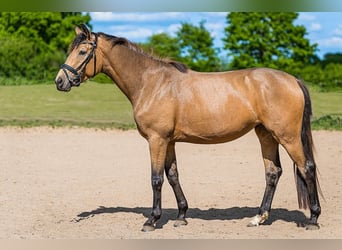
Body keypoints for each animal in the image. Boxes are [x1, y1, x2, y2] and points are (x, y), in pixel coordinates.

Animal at [54, 24, 322, 231]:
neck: (151, 83)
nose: (60, 81)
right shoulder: (169, 141)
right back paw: (259, 217)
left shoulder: (156, 139)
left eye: (82, 51)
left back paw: (313, 219)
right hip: (266, 134)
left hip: (288, 136)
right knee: (273, 172)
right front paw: (181, 216)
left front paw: (152, 220)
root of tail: (292, 80)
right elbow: (173, 176)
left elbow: (156, 179)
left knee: (307, 168)